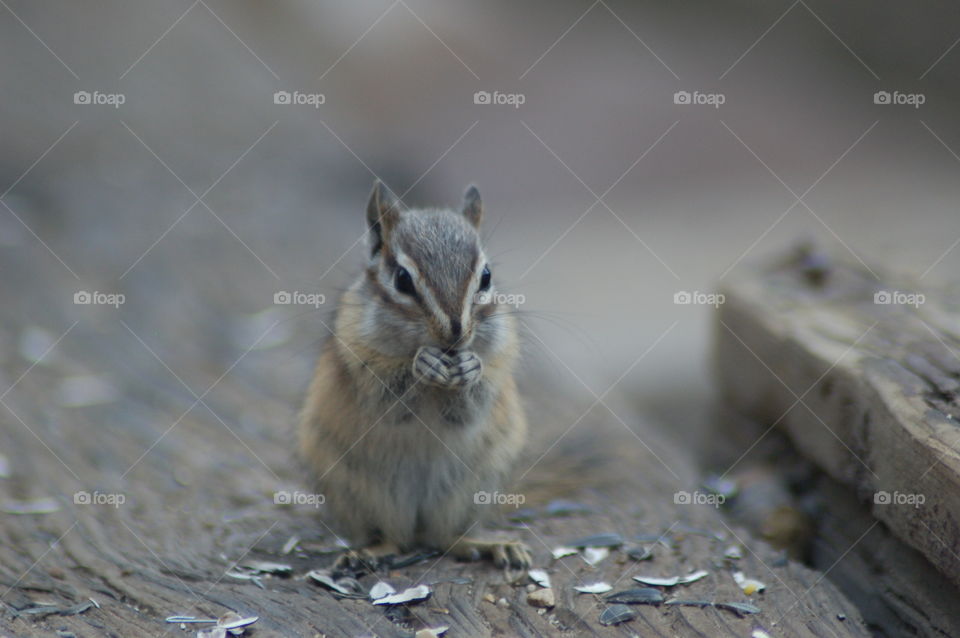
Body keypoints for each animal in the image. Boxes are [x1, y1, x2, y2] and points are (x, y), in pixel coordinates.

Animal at [297, 180, 531, 568]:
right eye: (402, 279)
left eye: (486, 277)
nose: (455, 334)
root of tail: (418, 524)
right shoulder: (362, 363)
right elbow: (389, 402)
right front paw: (423, 364)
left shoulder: (500, 357)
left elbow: (470, 409)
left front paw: (470, 368)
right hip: (365, 492)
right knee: (395, 540)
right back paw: (367, 553)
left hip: (471, 490)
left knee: (445, 538)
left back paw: (491, 545)